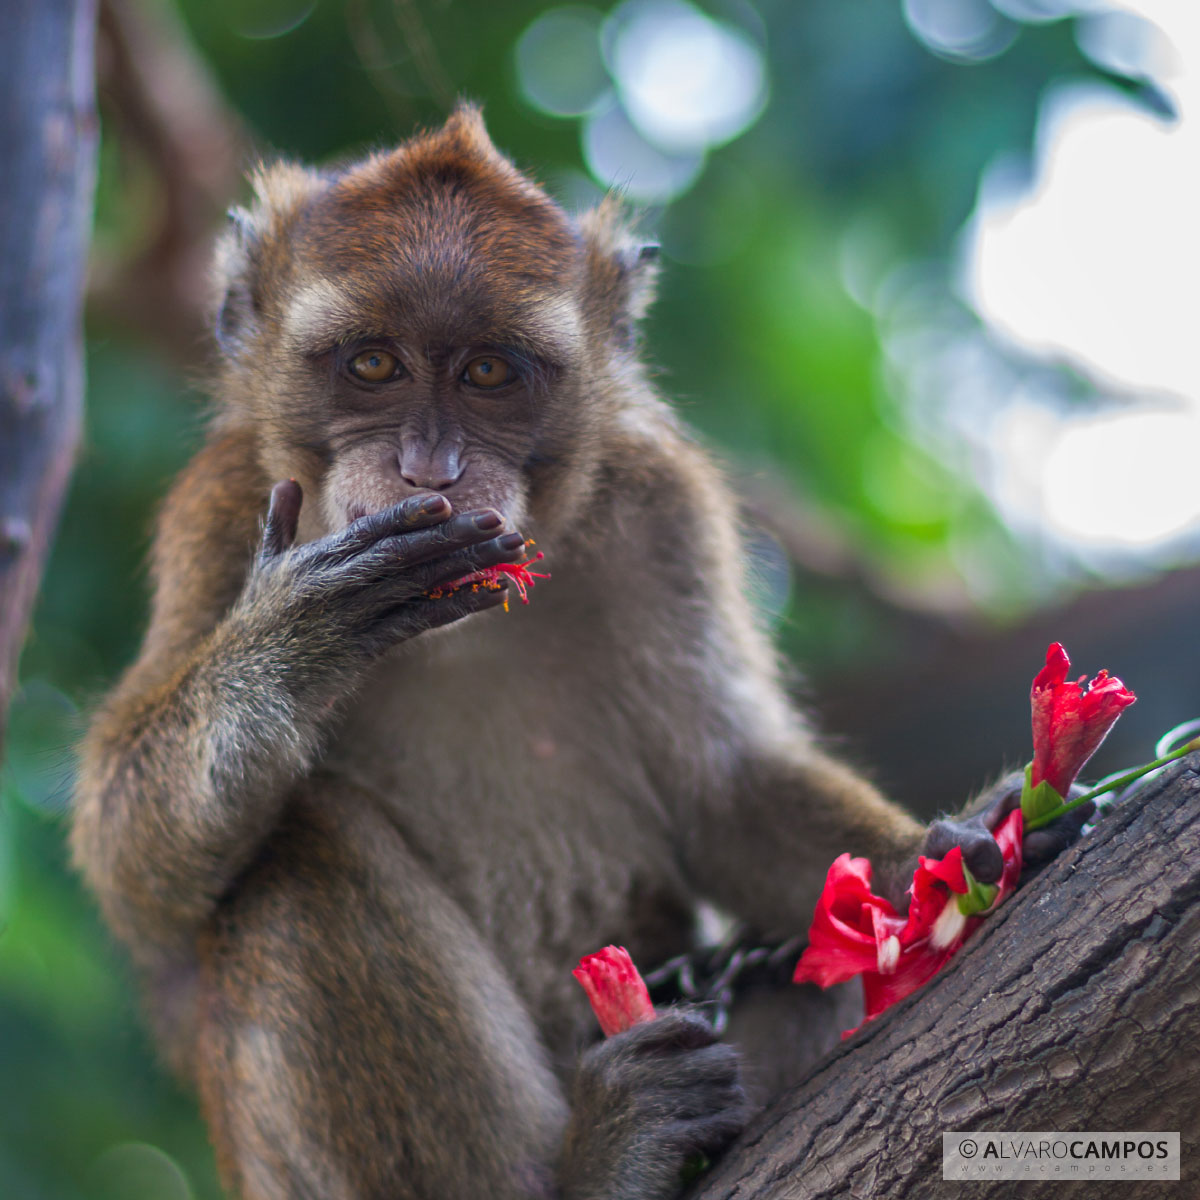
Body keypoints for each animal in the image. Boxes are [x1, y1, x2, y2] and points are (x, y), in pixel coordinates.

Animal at [72, 108, 1089, 1195]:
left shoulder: (660, 505)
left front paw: (936, 858)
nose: (429, 469)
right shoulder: (220, 512)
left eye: (488, 373)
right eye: (373, 365)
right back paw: (603, 1159)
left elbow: (722, 786)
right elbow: (136, 879)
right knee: (299, 850)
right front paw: (296, 635)